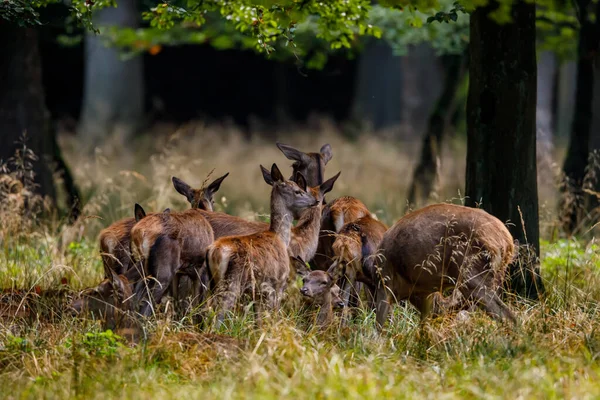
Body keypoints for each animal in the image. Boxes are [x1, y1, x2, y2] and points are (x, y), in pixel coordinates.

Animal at [206, 164, 318, 326]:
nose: (315, 200)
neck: (280, 238)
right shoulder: (278, 283)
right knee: (219, 315)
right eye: (298, 191)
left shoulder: (257, 292)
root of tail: (215, 251)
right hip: (232, 283)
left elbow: (258, 320)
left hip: (211, 282)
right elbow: (274, 315)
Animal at [376, 203, 516, 328]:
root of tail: (506, 241)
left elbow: (379, 326)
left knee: (507, 315)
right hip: (494, 274)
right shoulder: (424, 294)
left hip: (471, 273)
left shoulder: (384, 281)